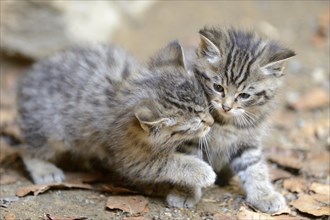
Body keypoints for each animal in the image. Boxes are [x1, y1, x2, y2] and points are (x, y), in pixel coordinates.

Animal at [17, 41, 214, 208]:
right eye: (198, 122)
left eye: (206, 106)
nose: (211, 122)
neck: (121, 90)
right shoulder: (131, 158)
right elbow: (169, 163)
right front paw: (203, 172)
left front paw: (188, 192)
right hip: (51, 129)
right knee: (27, 148)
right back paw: (44, 169)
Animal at [182, 27, 296, 213]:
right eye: (218, 87)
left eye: (244, 95)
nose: (226, 106)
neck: (225, 122)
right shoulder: (190, 137)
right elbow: (190, 161)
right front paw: (185, 191)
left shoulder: (247, 140)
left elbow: (254, 166)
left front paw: (264, 195)